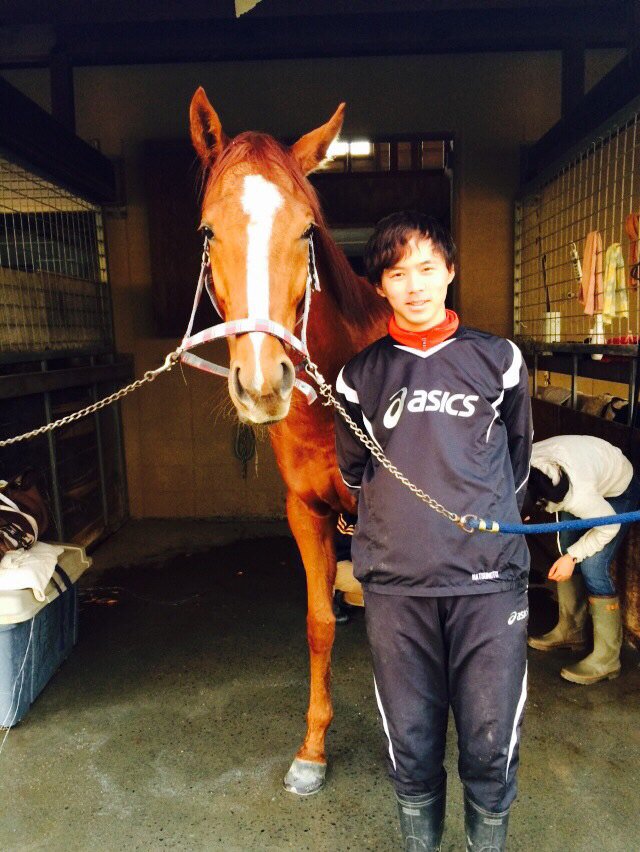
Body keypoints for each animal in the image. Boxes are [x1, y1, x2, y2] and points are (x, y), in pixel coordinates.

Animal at [189, 87, 389, 795]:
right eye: (208, 231)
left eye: (306, 230)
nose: (262, 382)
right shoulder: (306, 513)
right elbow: (319, 624)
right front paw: (313, 750)